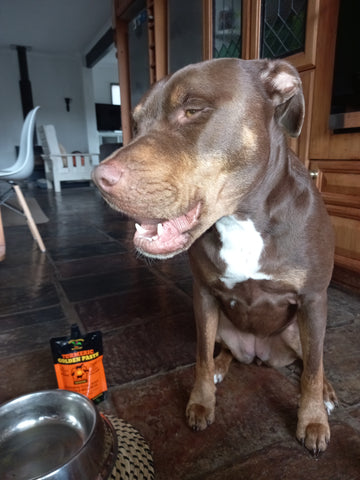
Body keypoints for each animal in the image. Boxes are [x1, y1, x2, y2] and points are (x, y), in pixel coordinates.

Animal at [92, 59, 338, 454]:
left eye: (193, 111)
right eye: (138, 123)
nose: (97, 178)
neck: (242, 216)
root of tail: (259, 353)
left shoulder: (314, 299)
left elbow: (312, 372)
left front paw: (313, 420)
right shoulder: (204, 296)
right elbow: (201, 356)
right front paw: (201, 402)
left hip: (302, 328)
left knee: (312, 359)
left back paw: (328, 390)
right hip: (223, 324)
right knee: (221, 351)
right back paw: (225, 364)